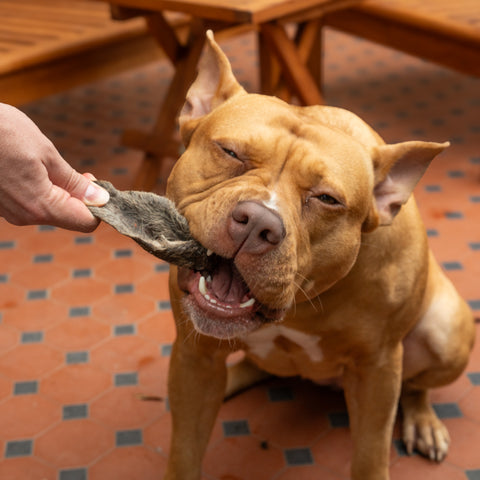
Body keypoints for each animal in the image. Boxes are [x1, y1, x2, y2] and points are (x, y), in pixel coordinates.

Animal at [163, 31, 474, 478]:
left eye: (327, 198)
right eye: (230, 152)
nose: (258, 222)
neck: (301, 305)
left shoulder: (378, 370)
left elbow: (371, 455)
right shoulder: (195, 357)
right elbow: (185, 452)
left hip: (445, 333)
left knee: (416, 386)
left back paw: (424, 421)